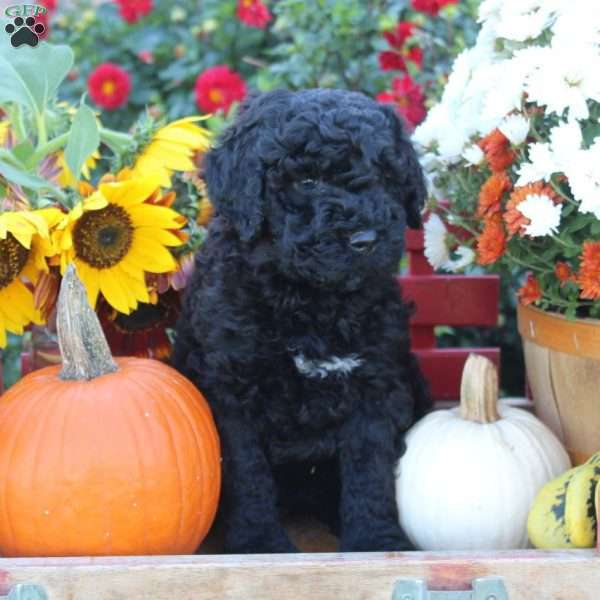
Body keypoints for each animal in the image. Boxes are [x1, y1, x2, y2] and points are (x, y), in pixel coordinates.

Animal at [172, 88, 432, 552]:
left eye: (386, 177)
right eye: (307, 181)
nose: (366, 240)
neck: (309, 300)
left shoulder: (376, 384)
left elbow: (369, 467)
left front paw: (374, 539)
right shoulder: (230, 391)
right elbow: (247, 471)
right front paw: (258, 542)